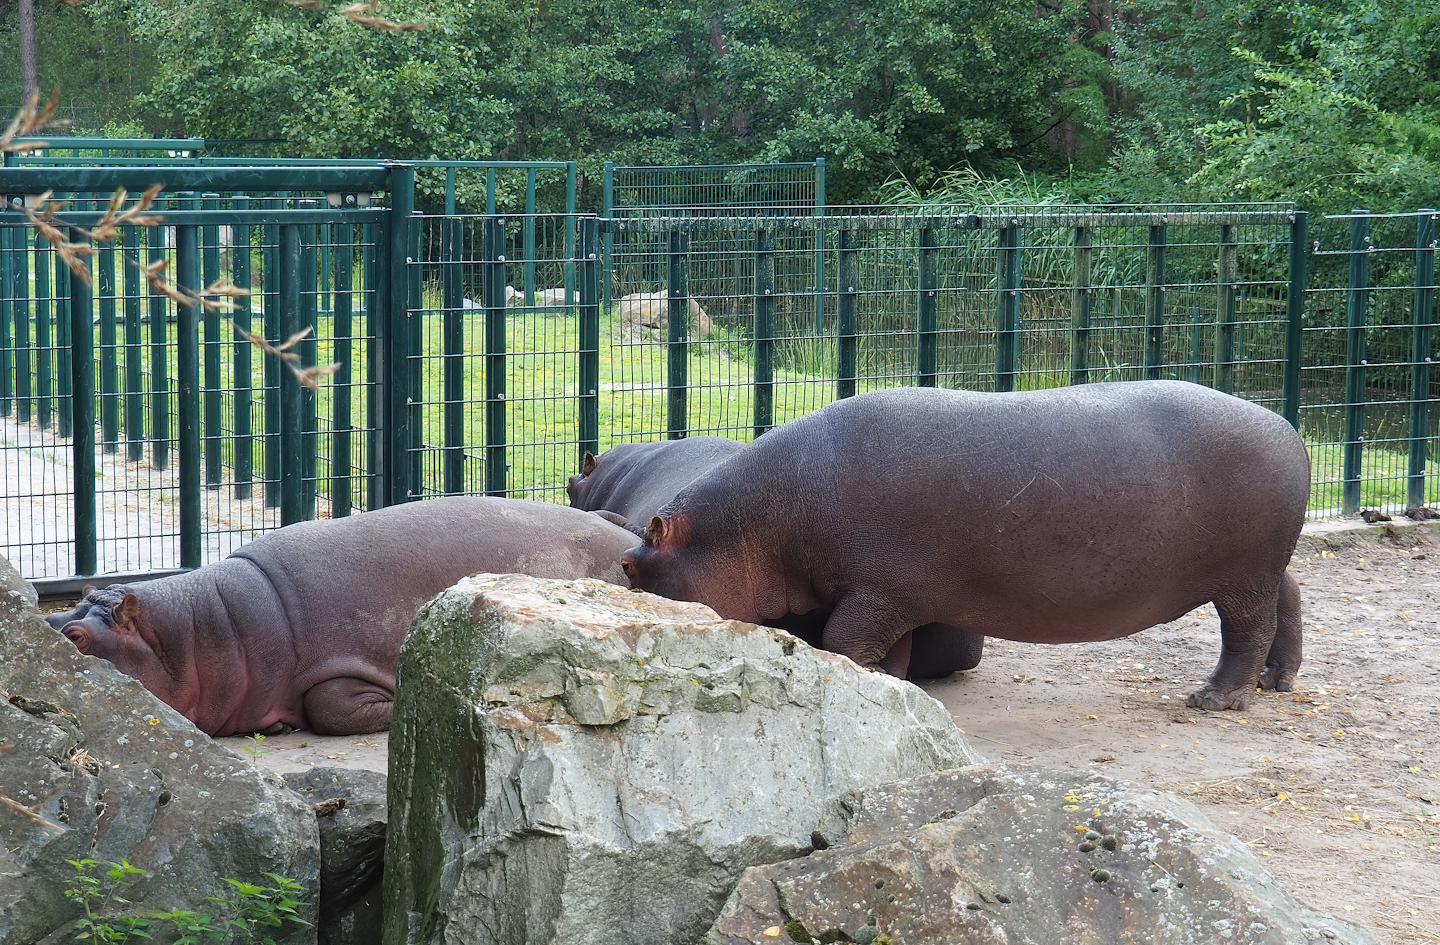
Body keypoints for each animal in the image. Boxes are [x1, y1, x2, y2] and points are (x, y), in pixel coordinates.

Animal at [621, 381, 1311, 711]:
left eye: (630, 565)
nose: (623, 564)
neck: (759, 520)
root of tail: (1289, 428)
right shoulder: (893, 595)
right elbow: (888, 652)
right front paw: (892, 691)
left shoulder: (877, 589)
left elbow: (843, 640)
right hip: (1263, 565)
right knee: (1291, 600)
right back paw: (1276, 683)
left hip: (1241, 576)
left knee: (1245, 631)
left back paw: (1214, 699)